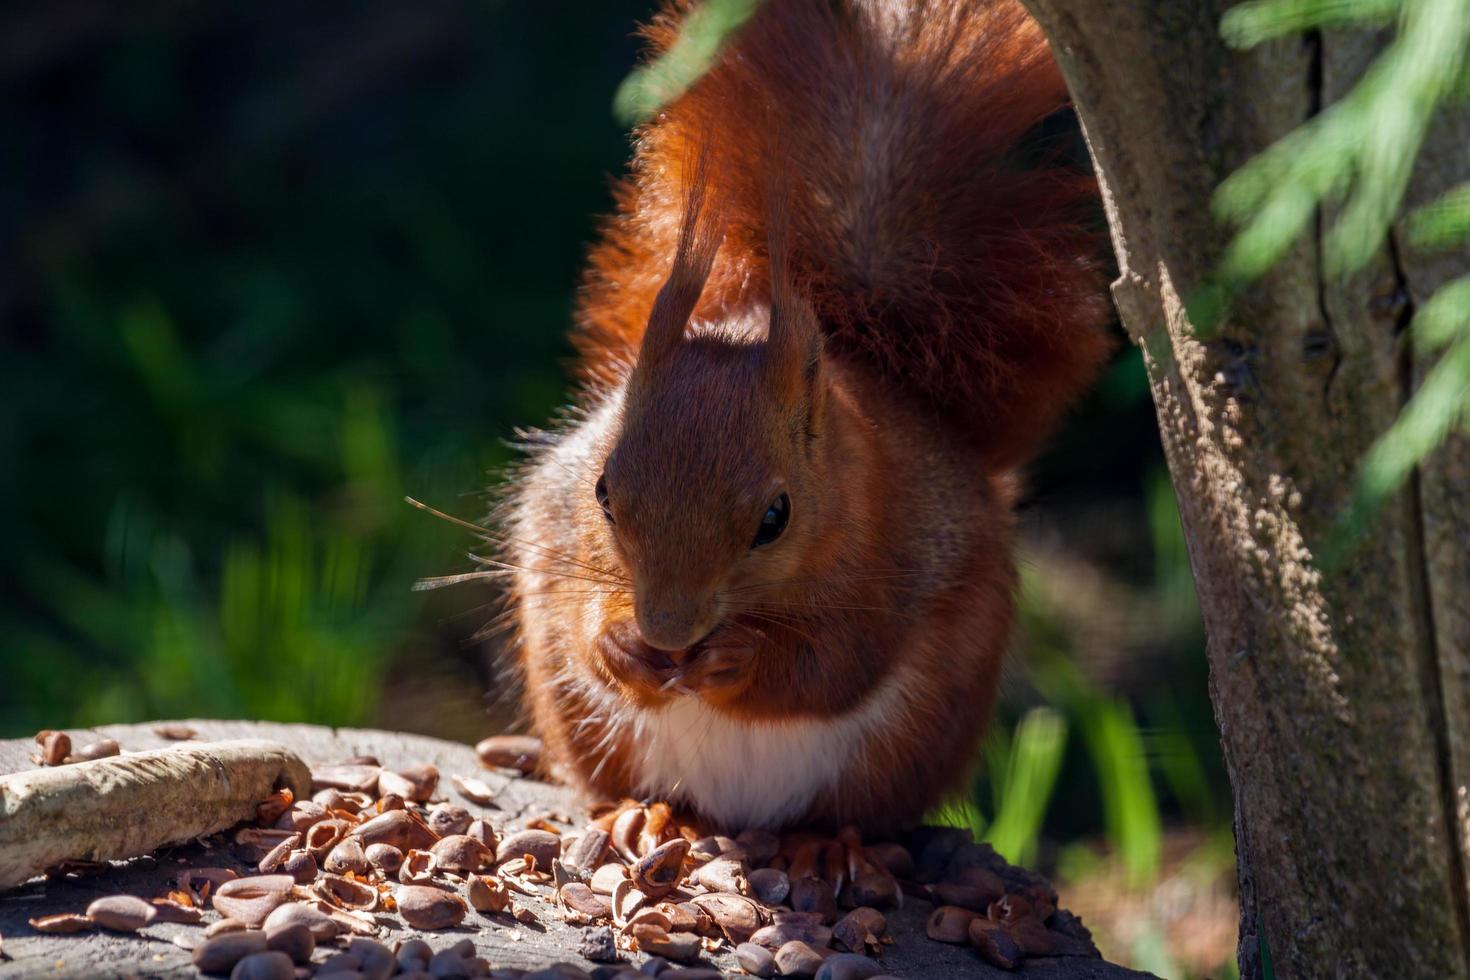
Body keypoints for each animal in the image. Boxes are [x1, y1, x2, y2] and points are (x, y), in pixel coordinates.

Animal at [493, 0, 1105, 834]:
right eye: (604, 494)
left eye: (775, 519)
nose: (668, 632)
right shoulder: (562, 533)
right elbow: (584, 619)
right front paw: (620, 646)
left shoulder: (894, 551)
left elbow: (835, 664)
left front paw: (739, 659)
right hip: (578, 718)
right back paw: (647, 815)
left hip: (909, 744)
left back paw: (827, 846)